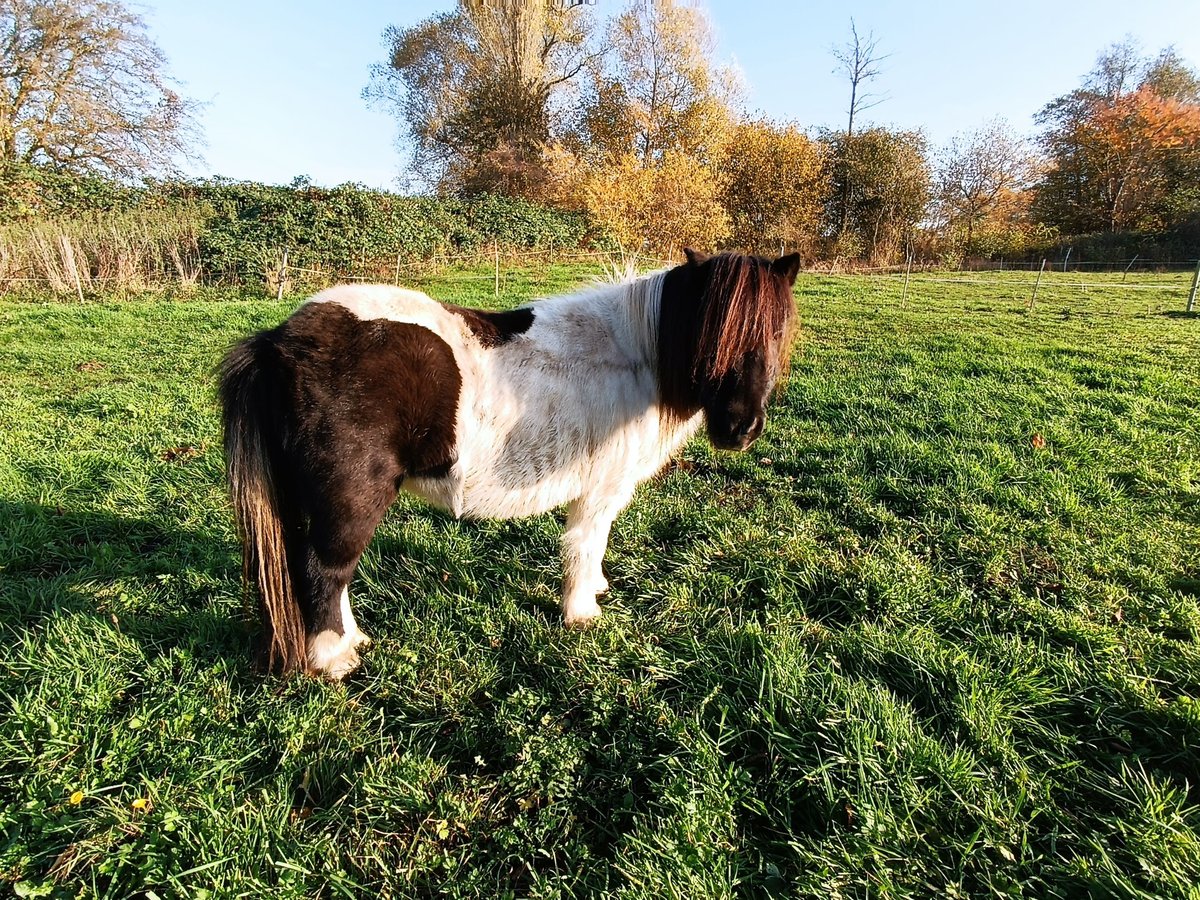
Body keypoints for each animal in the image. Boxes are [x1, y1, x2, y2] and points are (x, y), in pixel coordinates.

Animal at [220, 250, 801, 681]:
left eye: (775, 332)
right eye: (713, 335)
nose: (739, 428)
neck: (634, 355)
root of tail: (278, 341)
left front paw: (594, 591)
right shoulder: (599, 490)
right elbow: (585, 545)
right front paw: (582, 613)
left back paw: (352, 638)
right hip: (352, 497)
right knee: (325, 570)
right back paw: (334, 659)